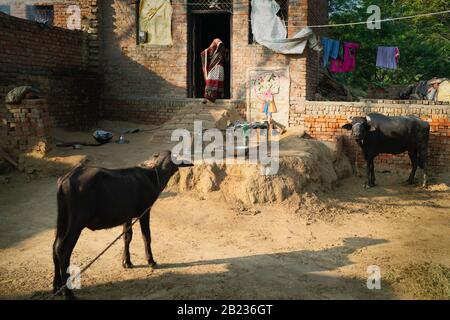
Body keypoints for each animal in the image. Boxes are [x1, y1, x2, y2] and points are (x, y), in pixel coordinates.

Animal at [52, 151, 193, 298]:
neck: (152, 177)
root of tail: (66, 178)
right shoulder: (144, 212)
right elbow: (146, 236)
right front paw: (150, 261)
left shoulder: (127, 216)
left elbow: (127, 237)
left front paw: (127, 262)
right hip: (76, 223)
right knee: (63, 250)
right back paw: (68, 293)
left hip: (62, 222)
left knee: (55, 247)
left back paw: (56, 287)